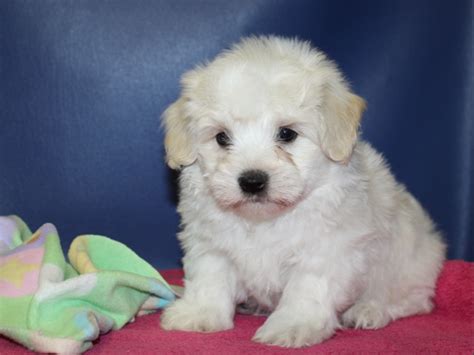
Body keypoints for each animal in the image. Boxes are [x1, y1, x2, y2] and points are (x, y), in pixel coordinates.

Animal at [161, 36, 446, 348]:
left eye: (287, 134)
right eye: (222, 138)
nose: (252, 181)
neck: (264, 219)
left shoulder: (324, 249)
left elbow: (306, 288)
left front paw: (292, 325)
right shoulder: (210, 243)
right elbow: (210, 277)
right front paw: (199, 313)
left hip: (407, 261)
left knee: (410, 299)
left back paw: (369, 310)